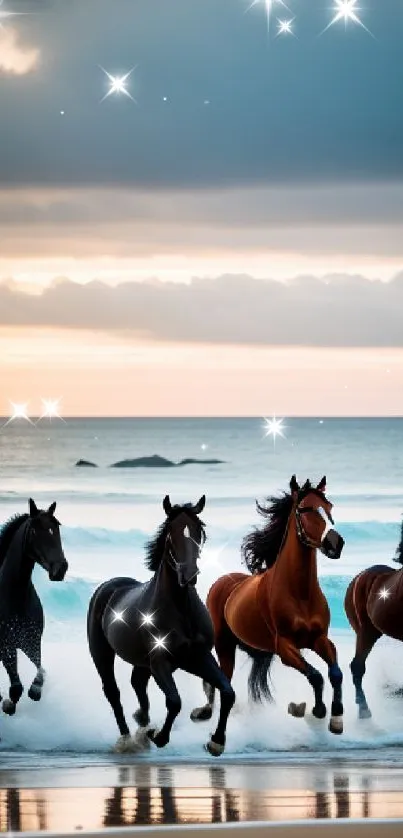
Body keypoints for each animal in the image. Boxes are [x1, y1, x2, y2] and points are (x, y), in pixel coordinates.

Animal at [0, 502, 68, 720]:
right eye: (35, 531)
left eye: (56, 528)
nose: (60, 569)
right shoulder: (7, 646)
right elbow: (16, 689)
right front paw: (7, 705)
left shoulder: (31, 642)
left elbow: (40, 672)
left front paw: (35, 691)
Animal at [87, 496, 235, 756]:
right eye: (170, 535)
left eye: (199, 533)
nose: (189, 575)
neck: (181, 609)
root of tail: (108, 587)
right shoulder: (160, 661)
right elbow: (174, 701)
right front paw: (159, 736)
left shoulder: (196, 658)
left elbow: (228, 692)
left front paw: (216, 742)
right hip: (102, 654)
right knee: (113, 692)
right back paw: (128, 739)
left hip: (143, 663)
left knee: (137, 683)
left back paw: (142, 726)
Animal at [191, 476, 346, 740]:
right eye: (304, 509)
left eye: (330, 507)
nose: (336, 543)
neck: (300, 593)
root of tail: (222, 582)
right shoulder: (285, 648)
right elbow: (315, 676)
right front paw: (317, 710)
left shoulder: (319, 639)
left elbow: (335, 673)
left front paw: (335, 719)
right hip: (224, 644)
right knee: (220, 682)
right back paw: (212, 729)